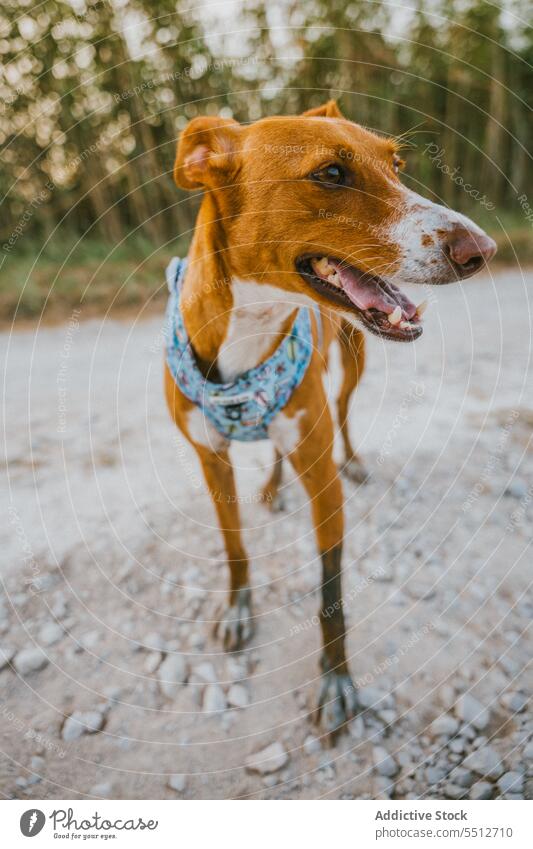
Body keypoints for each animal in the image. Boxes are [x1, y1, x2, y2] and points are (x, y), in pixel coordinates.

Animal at [164, 101, 496, 736]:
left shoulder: (323, 479)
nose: (482, 249)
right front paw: (238, 607)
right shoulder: (209, 460)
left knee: (342, 416)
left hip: (351, 368)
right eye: (332, 175)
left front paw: (338, 682)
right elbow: (235, 548)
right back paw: (272, 486)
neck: (248, 333)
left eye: (397, 165)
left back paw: (355, 462)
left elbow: (331, 592)